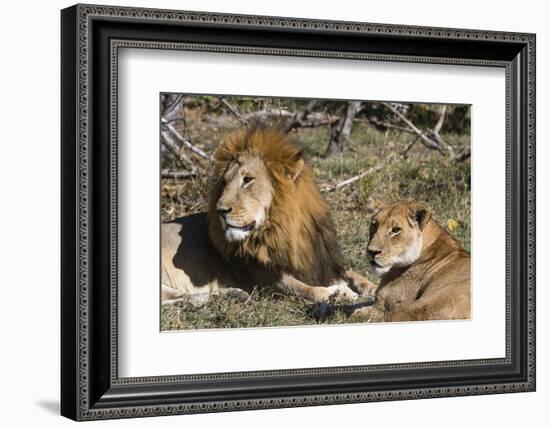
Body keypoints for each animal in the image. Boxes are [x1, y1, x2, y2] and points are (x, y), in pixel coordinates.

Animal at [162, 126, 364, 306]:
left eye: (248, 180)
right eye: (225, 182)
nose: (220, 211)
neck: (289, 231)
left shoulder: (323, 265)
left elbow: (355, 275)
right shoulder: (271, 282)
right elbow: (311, 290)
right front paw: (342, 293)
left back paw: (233, 294)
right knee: (174, 298)